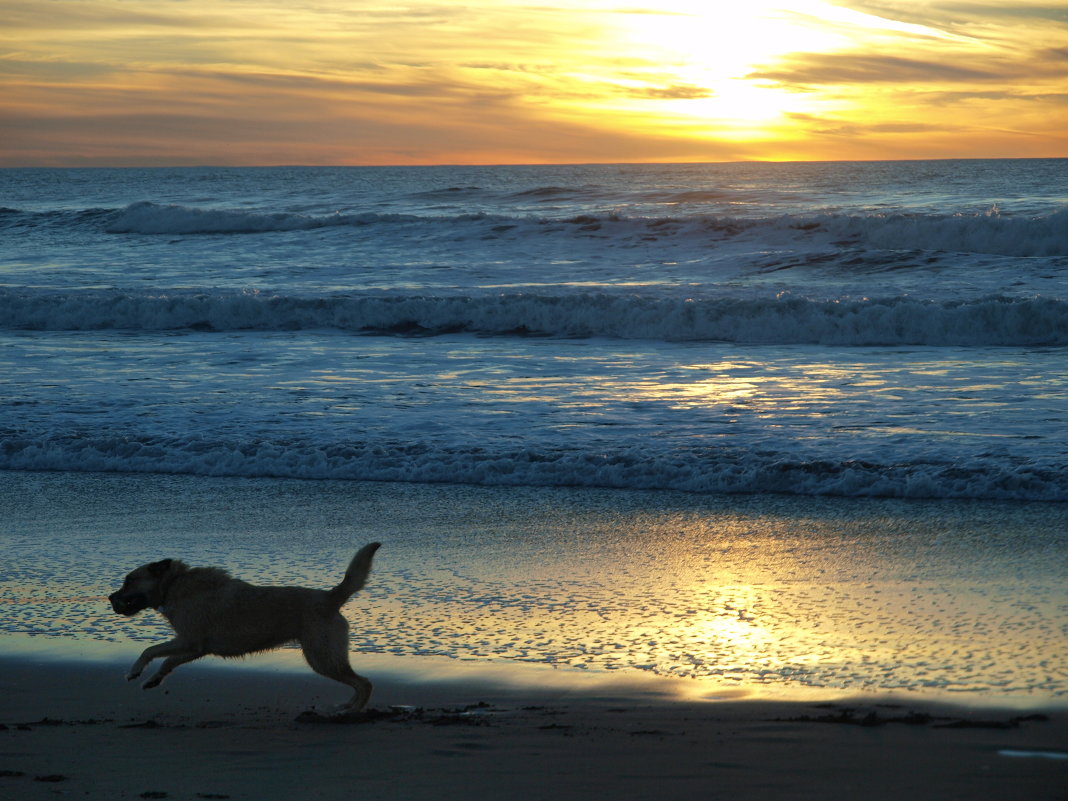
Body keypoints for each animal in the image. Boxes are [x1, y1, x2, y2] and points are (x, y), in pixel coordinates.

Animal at [108, 542, 382, 713]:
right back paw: (346, 706)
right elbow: (167, 661)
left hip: (322, 657)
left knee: (364, 683)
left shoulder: (188, 641)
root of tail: (330, 597)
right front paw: (154, 679)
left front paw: (135, 671)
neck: (173, 584)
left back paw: (352, 710)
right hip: (326, 657)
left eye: (129, 580)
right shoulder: (195, 647)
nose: (110, 598)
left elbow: (150, 650)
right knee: (359, 683)